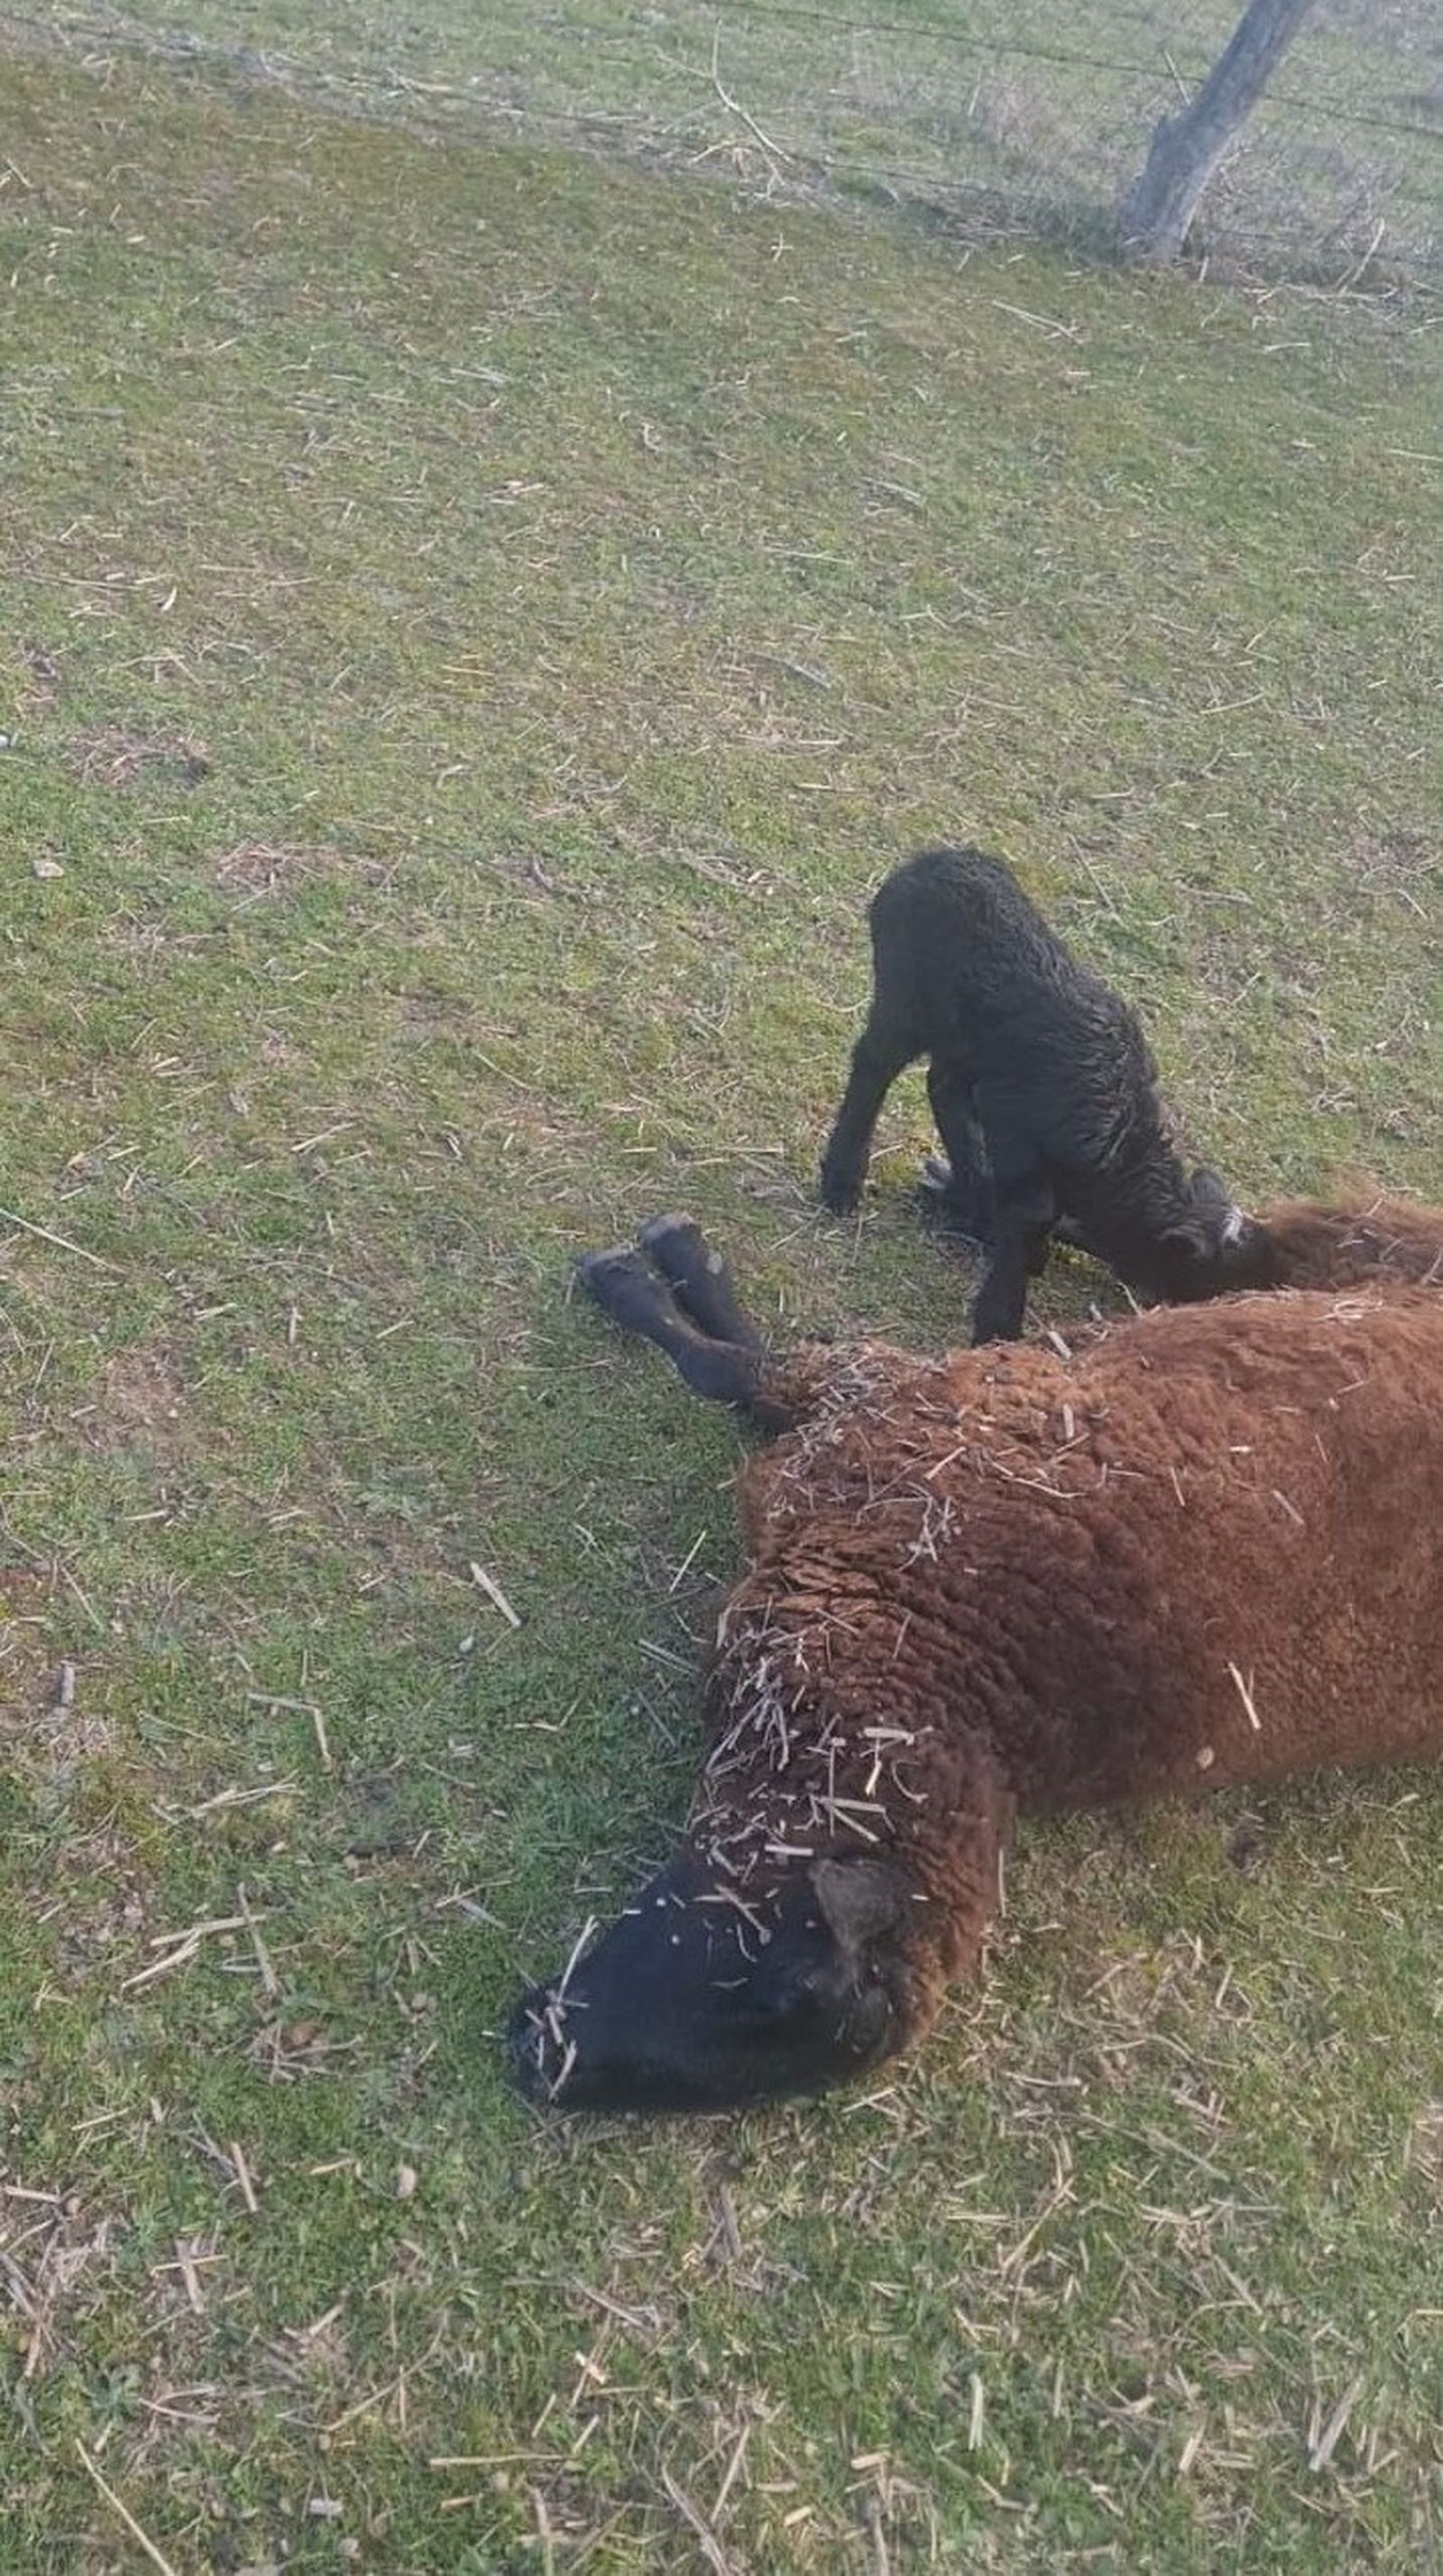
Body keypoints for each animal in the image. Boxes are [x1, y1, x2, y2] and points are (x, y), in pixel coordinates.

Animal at [507, 1214, 1443, 2116]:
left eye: (764, 2010)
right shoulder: (886, 1413)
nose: (533, 2055)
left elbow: (743, 1369)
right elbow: (746, 1366)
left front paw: (650, 1268)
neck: (943, 1650)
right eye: (759, 1983)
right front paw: (655, 1261)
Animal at [818, 844, 1270, 1342]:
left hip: (965, 1041)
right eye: (1192, 1275)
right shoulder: (1017, 1133)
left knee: (941, 1085)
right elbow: (1035, 1212)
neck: (1119, 1142)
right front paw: (999, 1322)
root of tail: (934, 859)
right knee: (875, 1064)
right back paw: (843, 1181)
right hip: (906, 997)